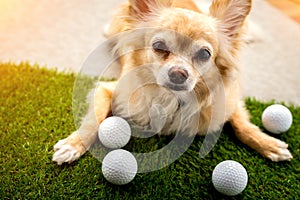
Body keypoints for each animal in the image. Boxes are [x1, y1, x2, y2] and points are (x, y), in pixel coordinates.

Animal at [52, 0, 292, 165]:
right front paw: (73, 145)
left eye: (205, 54)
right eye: (159, 46)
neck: (172, 100)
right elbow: (93, 121)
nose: (178, 73)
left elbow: (243, 126)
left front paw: (268, 144)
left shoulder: (229, 100)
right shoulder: (107, 90)